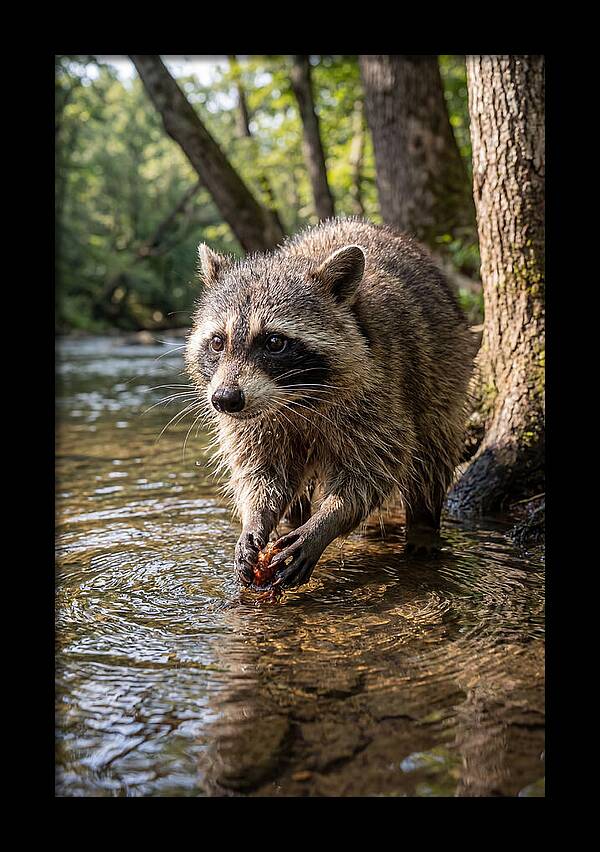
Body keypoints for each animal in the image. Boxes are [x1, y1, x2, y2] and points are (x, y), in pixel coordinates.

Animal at [185, 218, 474, 589]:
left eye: (274, 342)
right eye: (218, 342)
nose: (224, 400)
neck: (294, 398)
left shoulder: (379, 390)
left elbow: (374, 469)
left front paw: (327, 521)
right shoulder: (254, 421)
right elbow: (261, 471)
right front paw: (255, 518)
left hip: (444, 370)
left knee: (431, 455)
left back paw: (424, 526)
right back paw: (293, 519)